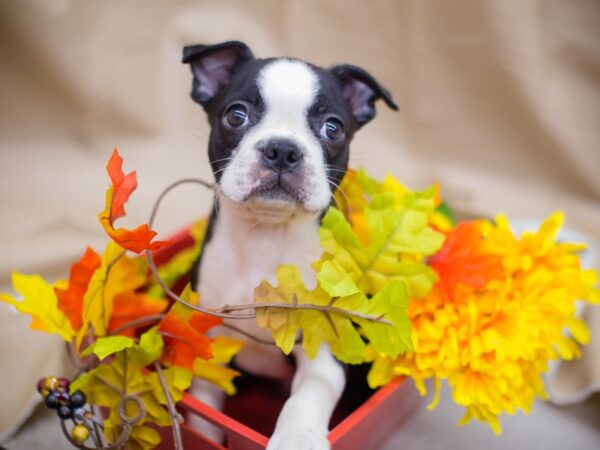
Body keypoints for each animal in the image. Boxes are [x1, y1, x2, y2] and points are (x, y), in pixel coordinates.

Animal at [183, 41, 398, 450]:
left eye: (333, 128)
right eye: (236, 116)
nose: (282, 150)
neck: (266, 235)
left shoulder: (324, 343)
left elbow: (308, 394)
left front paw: (297, 437)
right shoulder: (212, 344)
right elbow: (204, 404)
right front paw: (204, 435)